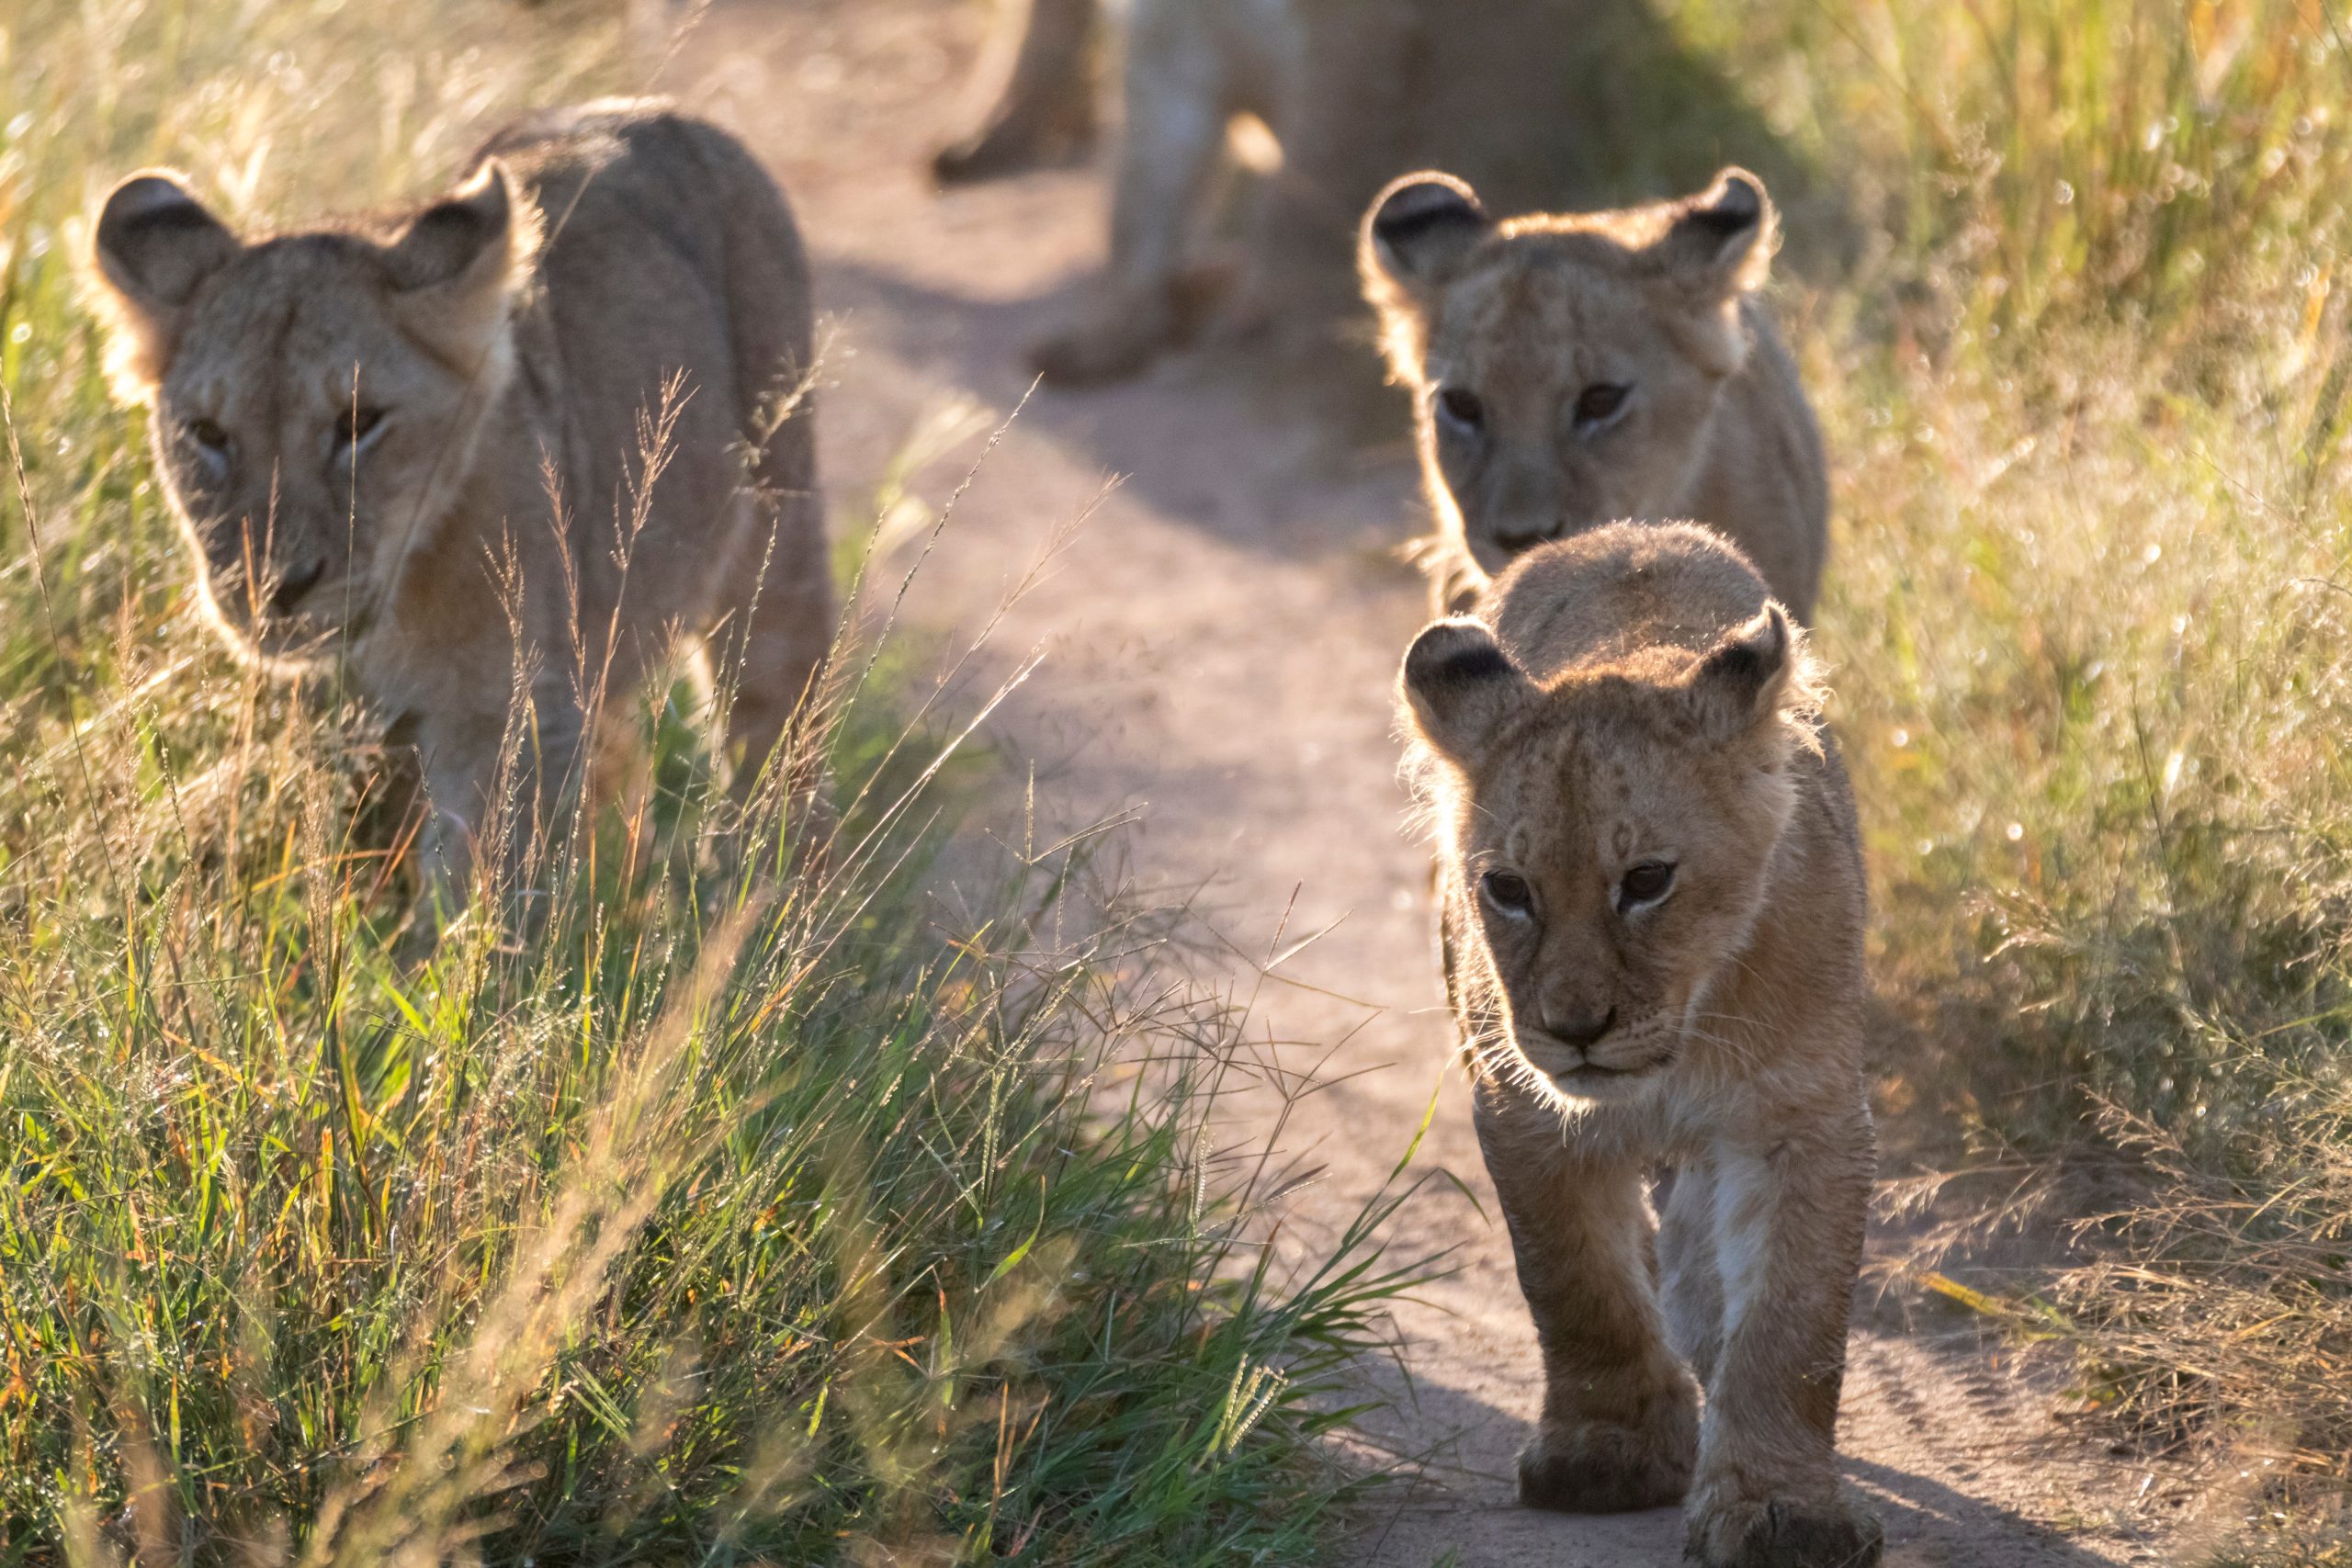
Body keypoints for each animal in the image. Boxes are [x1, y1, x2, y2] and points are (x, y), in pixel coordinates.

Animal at [87, 100, 830, 929]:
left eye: (359, 423)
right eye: (209, 435)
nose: (274, 586)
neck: (396, 607)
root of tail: (671, 113)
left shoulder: (509, 714)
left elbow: (486, 887)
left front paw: (458, 962)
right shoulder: (338, 725)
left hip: (775, 549)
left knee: (775, 727)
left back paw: (760, 894)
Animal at [1398, 521, 1879, 1567]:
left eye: (1648, 880)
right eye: (1508, 890)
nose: (1577, 1028)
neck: (1687, 1032)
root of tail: (1621, 530)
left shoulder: (1805, 1114)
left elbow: (1794, 1323)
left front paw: (1781, 1507)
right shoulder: (1524, 1109)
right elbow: (1575, 1286)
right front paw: (1608, 1452)